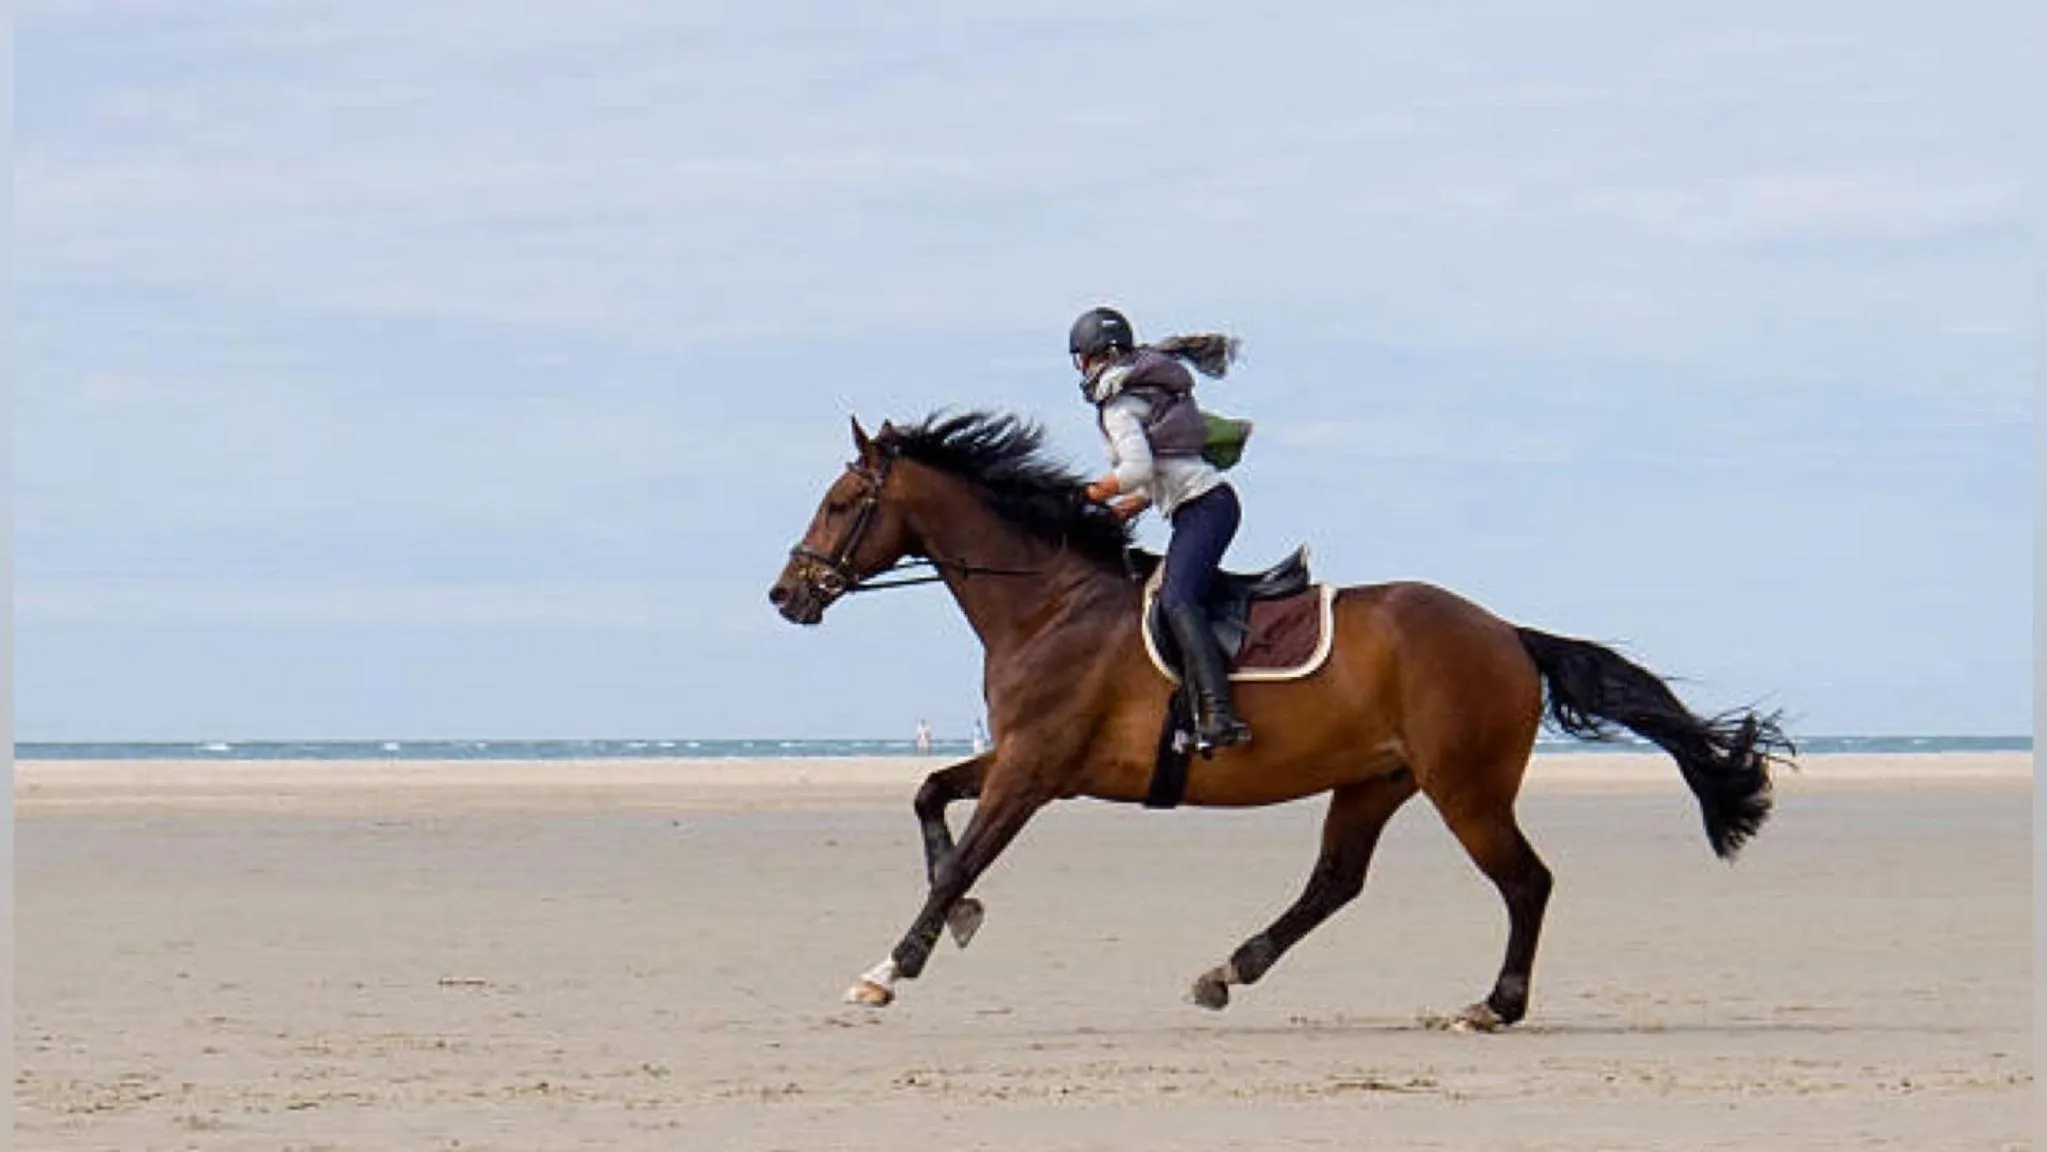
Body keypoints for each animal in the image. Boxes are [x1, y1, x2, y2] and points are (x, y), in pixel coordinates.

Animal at [768, 410, 1792, 1030]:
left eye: (841, 501)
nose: (786, 594)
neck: (1049, 603)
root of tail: (1506, 631)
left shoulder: (1034, 768)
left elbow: (959, 859)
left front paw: (890, 968)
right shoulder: (1023, 758)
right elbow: (926, 796)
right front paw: (960, 921)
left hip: (1463, 786)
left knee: (1525, 882)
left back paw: (1492, 1006)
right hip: (1376, 779)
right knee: (1335, 881)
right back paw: (1228, 970)